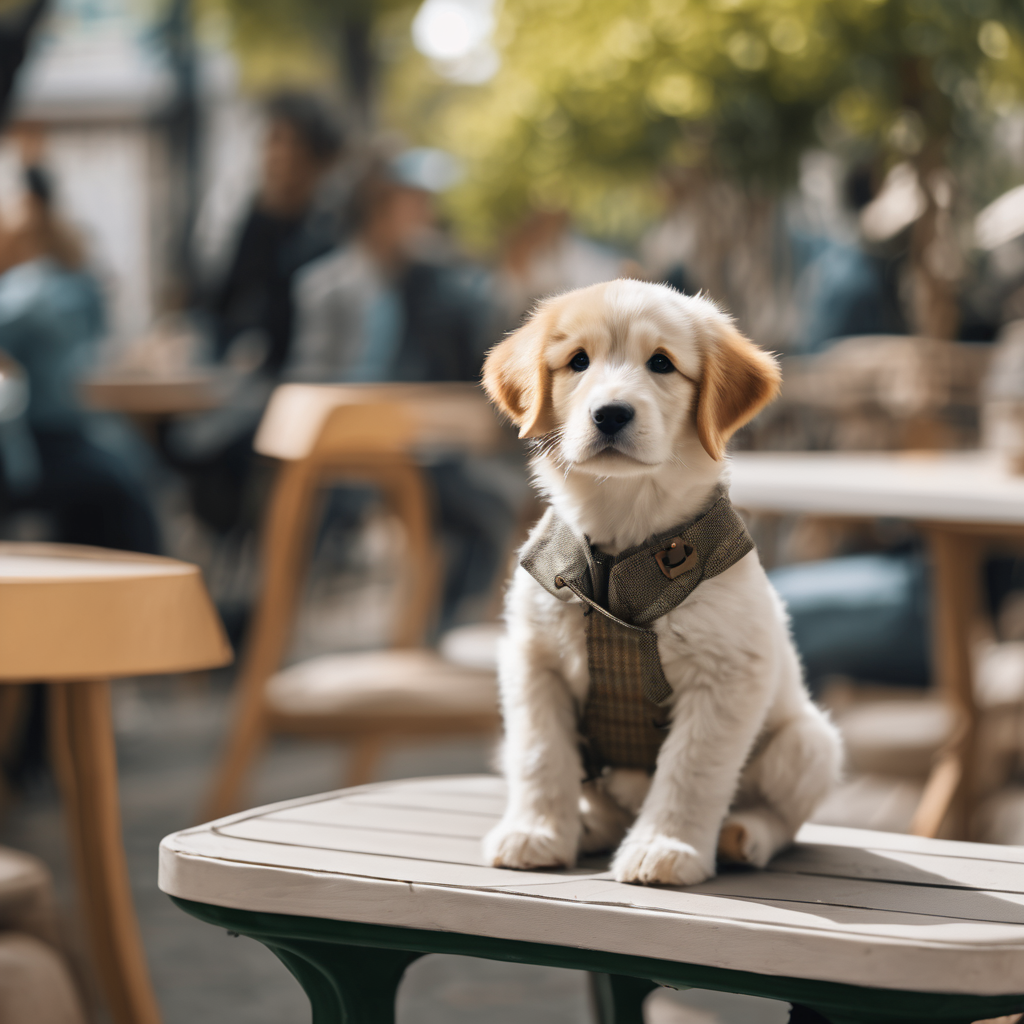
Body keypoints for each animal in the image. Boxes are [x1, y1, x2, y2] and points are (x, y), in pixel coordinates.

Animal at [479, 280, 839, 888]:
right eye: (579, 361)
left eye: (662, 364)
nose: (610, 414)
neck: (623, 547)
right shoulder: (533, 661)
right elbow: (541, 755)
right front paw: (538, 833)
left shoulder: (728, 675)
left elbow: (692, 769)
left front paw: (665, 847)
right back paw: (590, 826)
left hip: (810, 746)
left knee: (783, 818)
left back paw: (743, 835)